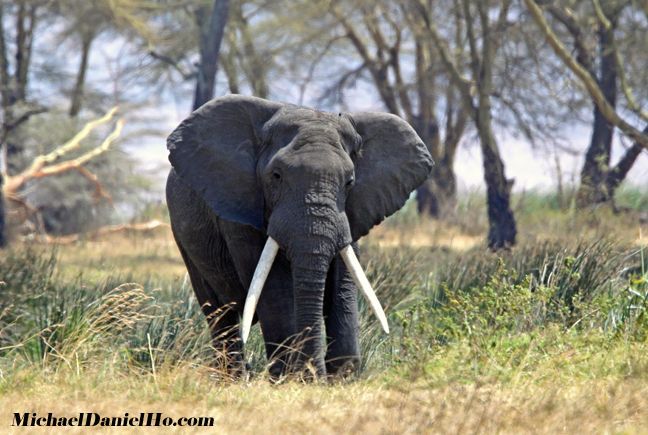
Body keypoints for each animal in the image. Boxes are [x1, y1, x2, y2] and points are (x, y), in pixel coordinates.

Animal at [165, 94, 432, 378]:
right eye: (276, 176)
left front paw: (342, 377)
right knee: (218, 312)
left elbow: (343, 280)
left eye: (349, 181)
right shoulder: (240, 209)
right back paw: (236, 376)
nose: (315, 373)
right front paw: (293, 377)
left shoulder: (352, 213)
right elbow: (274, 284)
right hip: (183, 236)